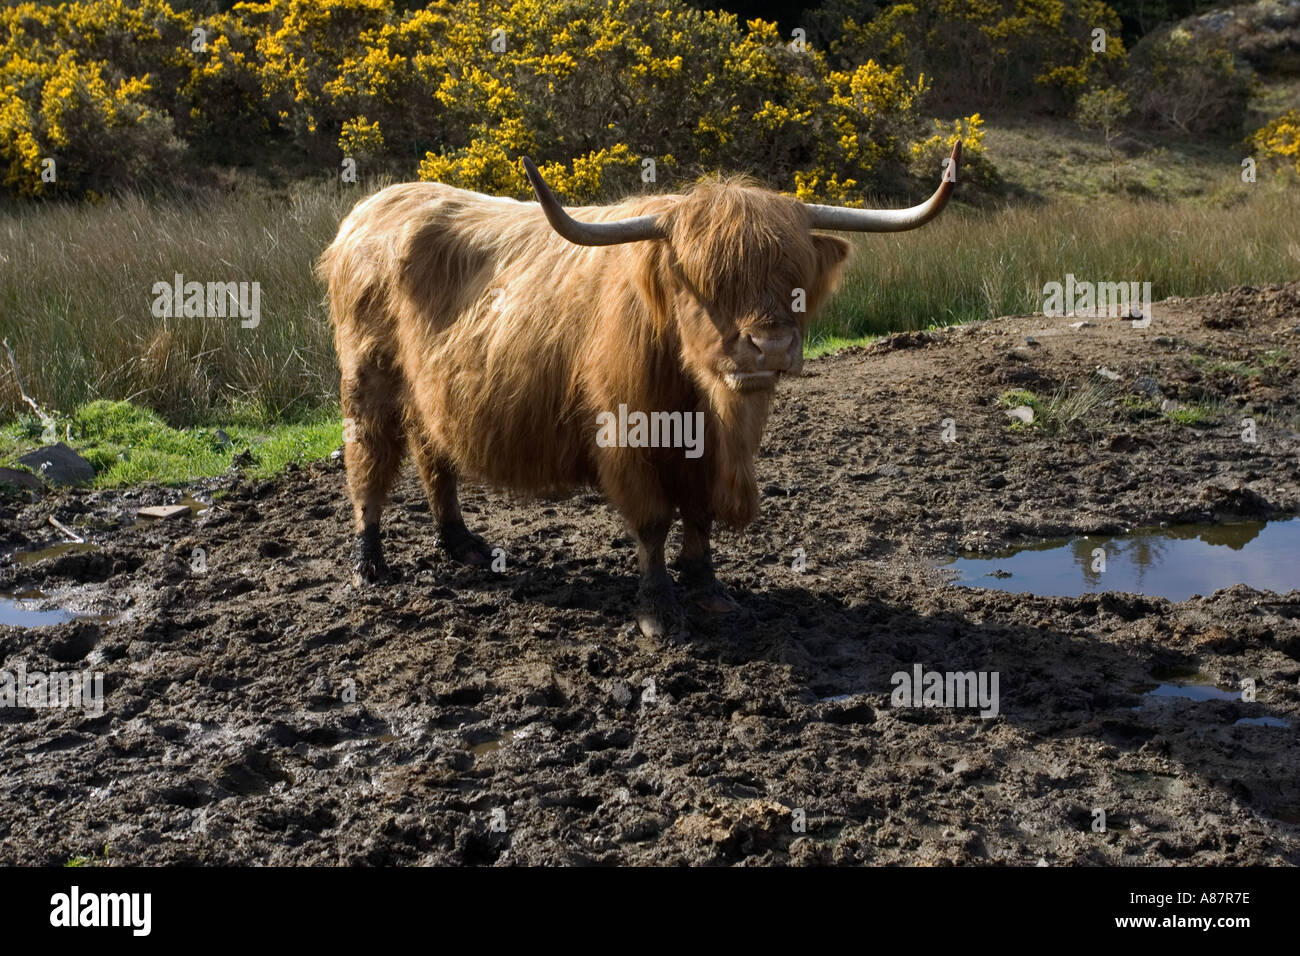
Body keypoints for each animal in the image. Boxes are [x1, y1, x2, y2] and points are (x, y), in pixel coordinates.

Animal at [317, 143, 960, 638]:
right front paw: (658, 610)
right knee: (368, 465)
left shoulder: (707, 454)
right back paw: (370, 565)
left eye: (796, 279)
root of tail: (371, 210)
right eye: (707, 284)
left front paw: (707, 588)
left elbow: (699, 516)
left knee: (435, 459)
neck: (701, 402)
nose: (771, 347)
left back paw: (461, 544)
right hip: (367, 382)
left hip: (430, 393)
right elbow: (652, 522)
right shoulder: (627, 440)